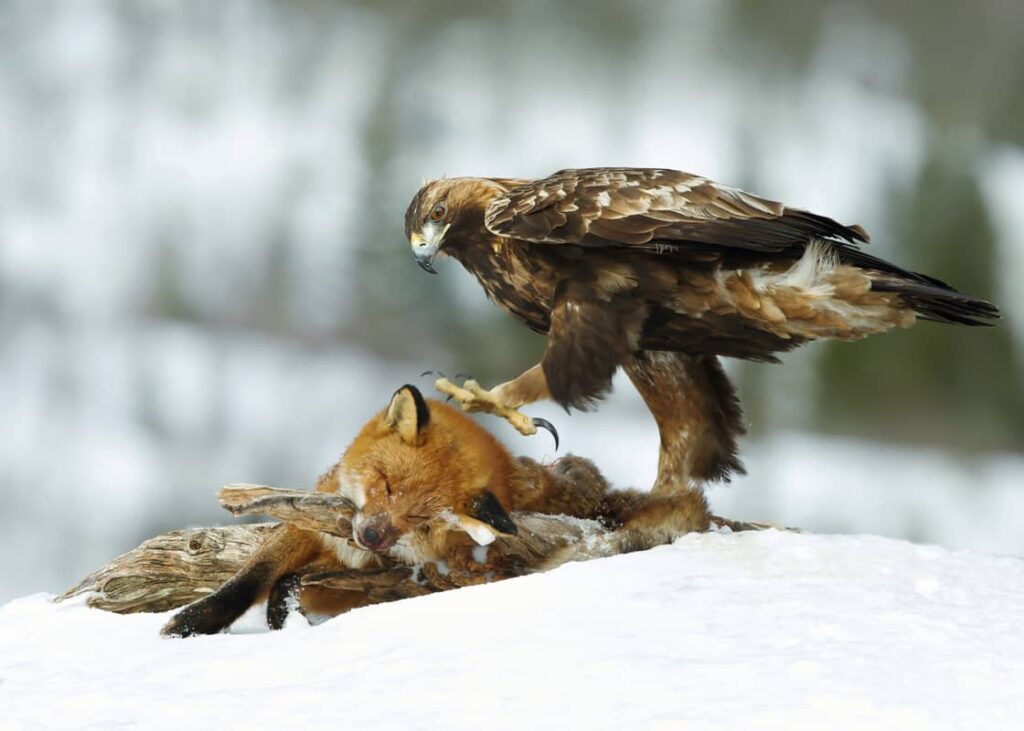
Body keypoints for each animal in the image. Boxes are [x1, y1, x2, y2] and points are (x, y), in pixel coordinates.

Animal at [162, 384, 709, 637]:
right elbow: (251, 577)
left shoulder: (389, 574)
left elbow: (295, 584)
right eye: (386, 484)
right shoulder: (311, 527)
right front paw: (191, 623)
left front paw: (283, 610)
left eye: (421, 520)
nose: (372, 536)